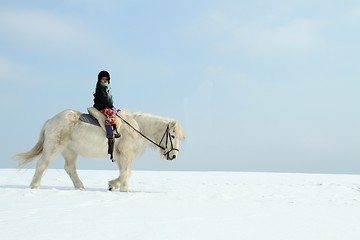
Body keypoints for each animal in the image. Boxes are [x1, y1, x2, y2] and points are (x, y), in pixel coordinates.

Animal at [13, 109, 184, 191]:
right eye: (173, 135)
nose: (174, 156)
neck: (137, 128)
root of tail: (50, 121)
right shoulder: (126, 154)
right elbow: (127, 173)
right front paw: (124, 189)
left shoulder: (121, 156)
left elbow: (124, 173)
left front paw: (113, 185)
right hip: (54, 147)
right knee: (42, 164)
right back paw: (34, 187)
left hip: (70, 151)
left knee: (70, 168)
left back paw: (80, 187)